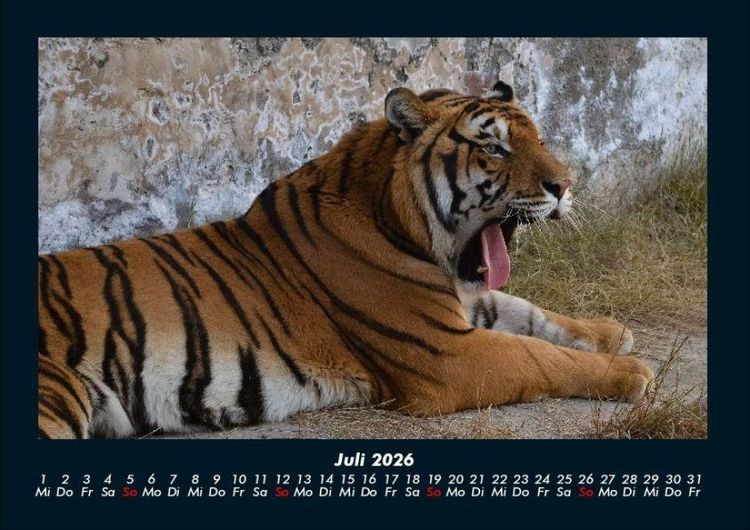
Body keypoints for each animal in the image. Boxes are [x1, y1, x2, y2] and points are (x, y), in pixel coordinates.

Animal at [38, 80, 654, 439]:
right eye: (494, 147)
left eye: (540, 138)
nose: (564, 186)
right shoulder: (446, 354)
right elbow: (537, 355)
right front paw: (630, 371)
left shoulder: (462, 305)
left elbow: (527, 310)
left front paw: (610, 331)